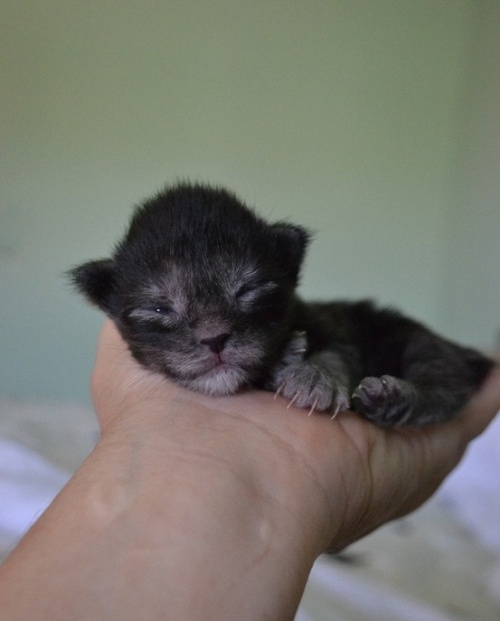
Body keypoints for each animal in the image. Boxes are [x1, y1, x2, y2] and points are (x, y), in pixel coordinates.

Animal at [69, 182, 494, 427]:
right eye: (160, 309)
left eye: (248, 290)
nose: (214, 339)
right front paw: (286, 362)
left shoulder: (336, 325)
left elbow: (337, 354)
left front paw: (314, 378)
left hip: (418, 343)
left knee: (442, 386)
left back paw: (392, 399)